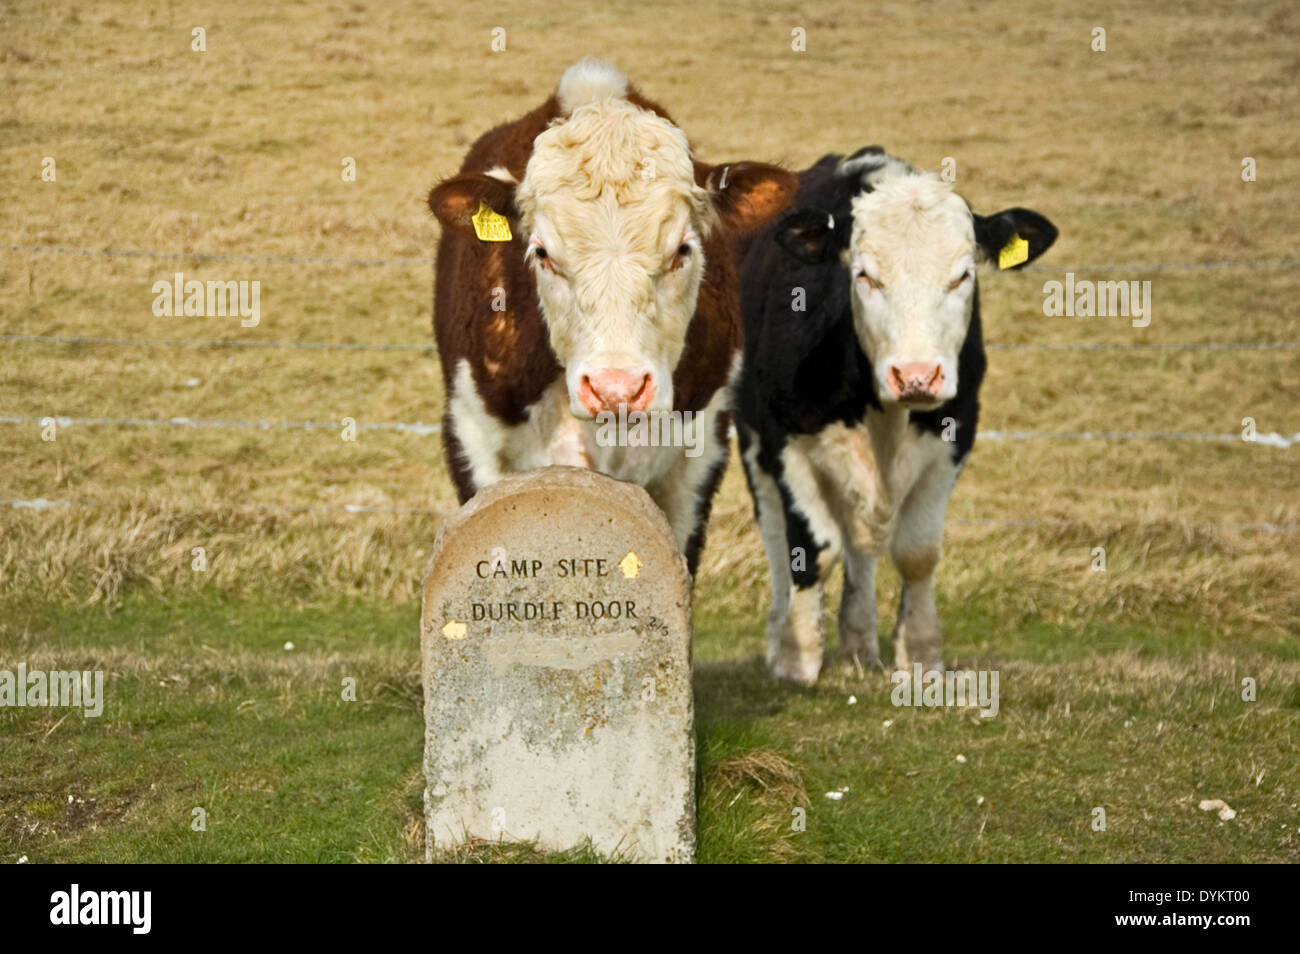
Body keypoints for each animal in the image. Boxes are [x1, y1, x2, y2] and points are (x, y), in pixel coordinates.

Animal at [733, 145, 1055, 686]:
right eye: (864, 274)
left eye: (963, 275)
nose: (917, 375)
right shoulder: (785, 440)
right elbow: (811, 548)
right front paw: (799, 658)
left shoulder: (954, 438)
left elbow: (917, 553)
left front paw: (920, 653)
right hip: (751, 437)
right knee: (777, 530)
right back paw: (785, 634)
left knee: (860, 542)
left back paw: (860, 645)